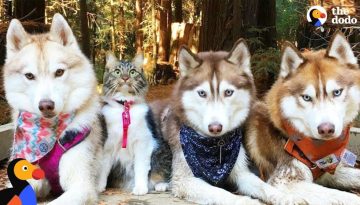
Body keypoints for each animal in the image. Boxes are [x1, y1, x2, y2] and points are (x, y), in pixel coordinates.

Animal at [97, 52, 172, 195]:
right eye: (117, 71)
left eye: (132, 72)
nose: (125, 78)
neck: (124, 107)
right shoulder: (107, 145)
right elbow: (103, 168)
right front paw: (98, 187)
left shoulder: (143, 142)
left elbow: (141, 167)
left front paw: (141, 188)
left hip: (162, 152)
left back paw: (161, 185)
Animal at [149, 40, 304, 205]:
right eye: (202, 93)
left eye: (228, 92)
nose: (215, 128)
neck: (215, 146)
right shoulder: (185, 180)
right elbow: (220, 192)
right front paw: (246, 201)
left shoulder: (241, 173)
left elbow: (264, 186)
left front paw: (286, 197)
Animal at [248, 31, 360, 204]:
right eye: (306, 97)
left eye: (337, 92)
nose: (326, 129)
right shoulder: (284, 181)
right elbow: (345, 197)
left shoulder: (327, 173)